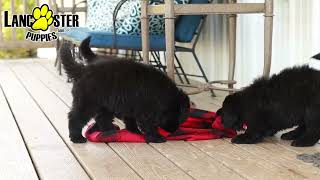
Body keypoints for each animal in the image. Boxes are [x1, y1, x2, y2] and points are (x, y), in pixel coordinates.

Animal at [59, 37, 190, 143]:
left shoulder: (131, 106)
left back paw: (110, 131)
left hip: (105, 103)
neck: (163, 94)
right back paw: (77, 138)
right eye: (176, 116)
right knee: (75, 117)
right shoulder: (146, 110)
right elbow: (148, 124)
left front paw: (135, 132)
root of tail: (83, 70)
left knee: (102, 118)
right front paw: (156, 137)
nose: (173, 130)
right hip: (87, 102)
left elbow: (131, 120)